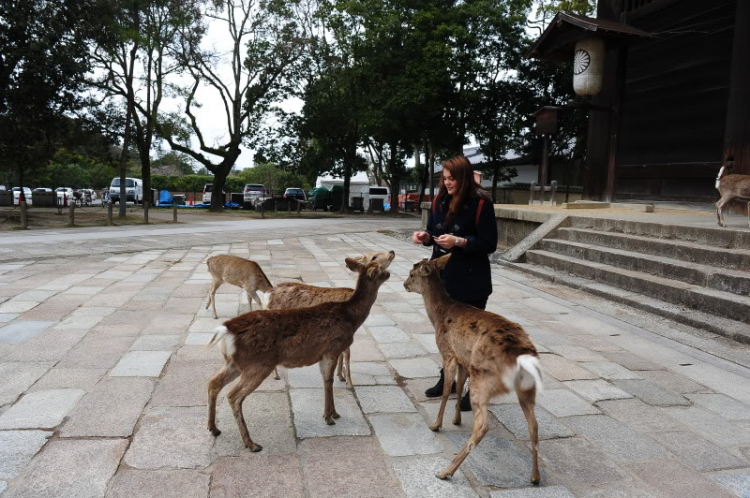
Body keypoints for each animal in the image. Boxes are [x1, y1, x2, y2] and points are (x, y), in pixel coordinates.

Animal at [260, 249, 400, 386]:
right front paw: (349, 382)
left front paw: (340, 376)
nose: (392, 251)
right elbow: (347, 354)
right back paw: (276, 375)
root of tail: (267, 295)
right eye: (373, 257)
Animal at [402, 255, 544, 484]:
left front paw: (436, 424)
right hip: (527, 387)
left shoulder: (449, 353)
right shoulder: (464, 360)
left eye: (412, 274)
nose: (404, 284)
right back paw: (535, 477)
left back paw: (446, 471)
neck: (438, 316)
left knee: (483, 426)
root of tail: (523, 357)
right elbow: (459, 387)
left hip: (484, 380)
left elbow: (446, 391)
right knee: (534, 425)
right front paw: (456, 419)